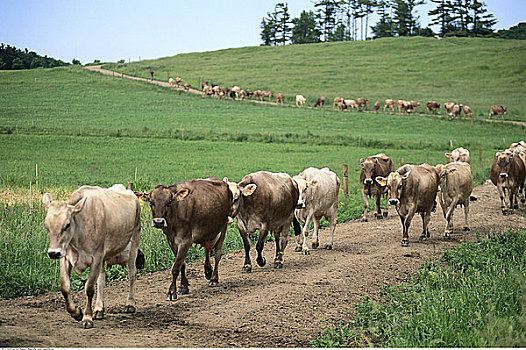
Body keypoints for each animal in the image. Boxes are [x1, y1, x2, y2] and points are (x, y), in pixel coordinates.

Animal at [42, 185, 142, 330]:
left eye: (67, 225)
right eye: (47, 225)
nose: (53, 253)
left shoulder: (96, 258)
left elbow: (89, 288)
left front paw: (87, 318)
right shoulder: (65, 258)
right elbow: (65, 287)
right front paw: (76, 312)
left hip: (134, 240)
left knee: (132, 274)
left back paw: (130, 304)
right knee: (101, 280)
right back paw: (99, 309)